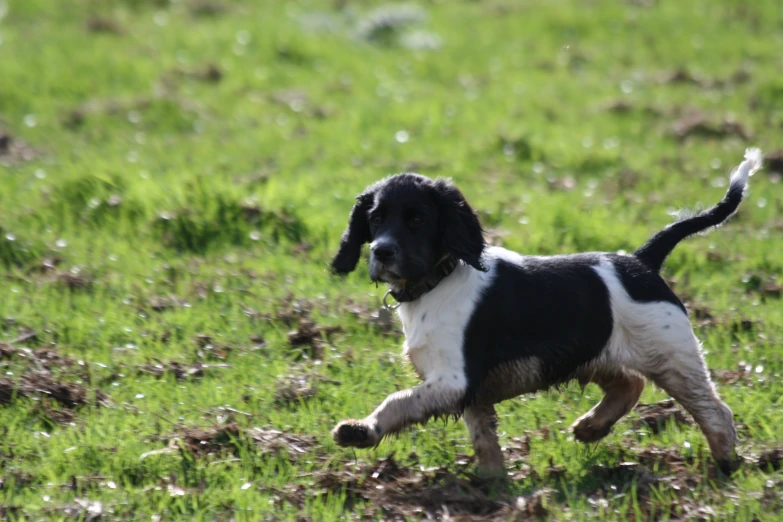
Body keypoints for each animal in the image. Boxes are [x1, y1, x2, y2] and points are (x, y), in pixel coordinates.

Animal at [332, 148, 764, 474]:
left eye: (418, 219)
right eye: (375, 218)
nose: (381, 252)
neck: (437, 281)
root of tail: (641, 261)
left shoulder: (454, 379)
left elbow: (398, 401)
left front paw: (360, 431)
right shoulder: (471, 392)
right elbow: (484, 439)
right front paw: (490, 487)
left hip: (671, 355)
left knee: (715, 411)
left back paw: (726, 463)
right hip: (597, 354)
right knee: (630, 384)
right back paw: (591, 428)